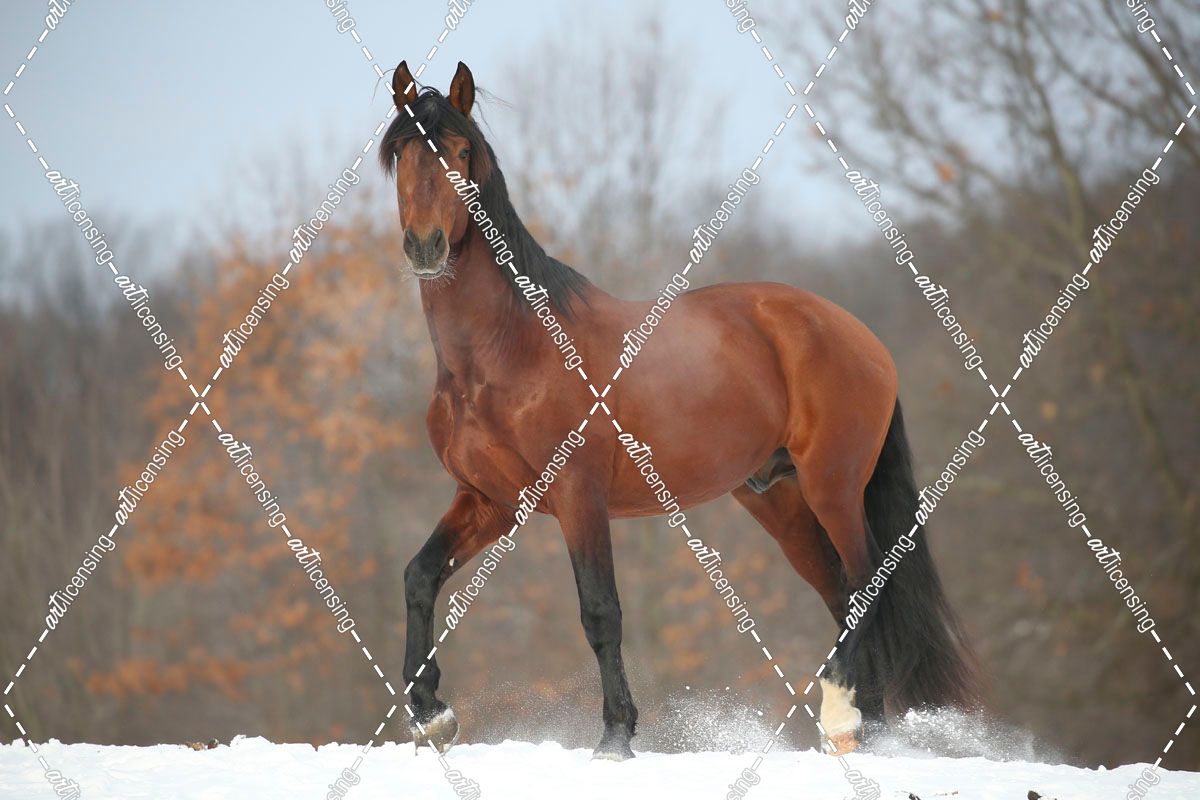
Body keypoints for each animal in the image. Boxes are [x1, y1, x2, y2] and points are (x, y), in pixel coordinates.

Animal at [380, 60, 979, 761]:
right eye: (402, 155)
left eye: (459, 150)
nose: (426, 246)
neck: (505, 352)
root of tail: (859, 334)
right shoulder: (489, 501)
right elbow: (419, 578)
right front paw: (431, 713)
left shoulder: (579, 497)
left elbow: (600, 612)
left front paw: (616, 735)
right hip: (781, 502)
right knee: (841, 595)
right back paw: (867, 729)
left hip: (833, 488)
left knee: (864, 587)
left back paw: (840, 712)